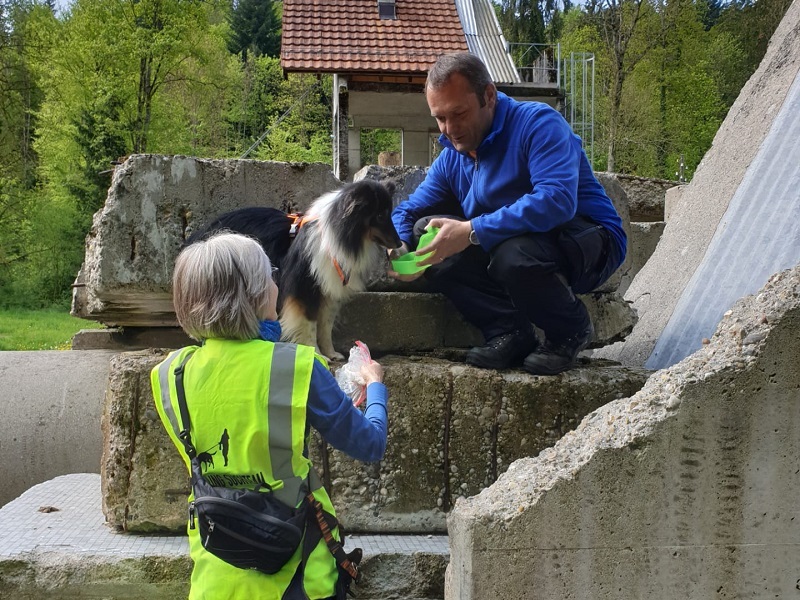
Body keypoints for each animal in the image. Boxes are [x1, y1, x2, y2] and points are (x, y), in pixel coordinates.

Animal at [186, 179, 400, 360]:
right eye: (380, 215)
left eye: (389, 213)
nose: (399, 243)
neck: (335, 236)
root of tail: (198, 234)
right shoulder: (304, 289)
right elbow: (310, 324)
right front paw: (317, 354)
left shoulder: (327, 291)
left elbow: (325, 325)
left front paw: (331, 354)